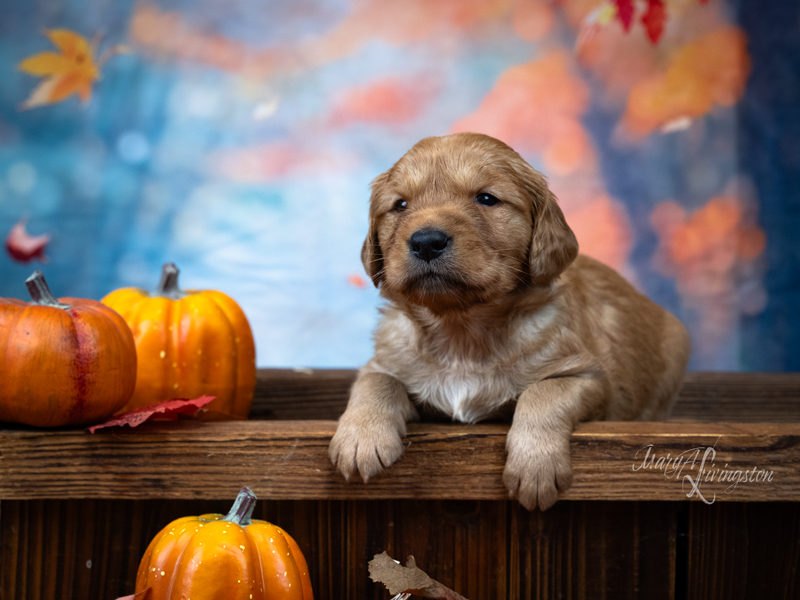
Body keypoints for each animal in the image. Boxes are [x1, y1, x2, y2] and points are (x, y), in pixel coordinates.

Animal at [328, 132, 692, 510]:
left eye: (487, 199)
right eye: (399, 205)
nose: (426, 241)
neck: (462, 329)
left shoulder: (589, 376)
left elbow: (544, 392)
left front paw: (536, 466)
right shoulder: (384, 361)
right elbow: (375, 383)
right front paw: (360, 439)